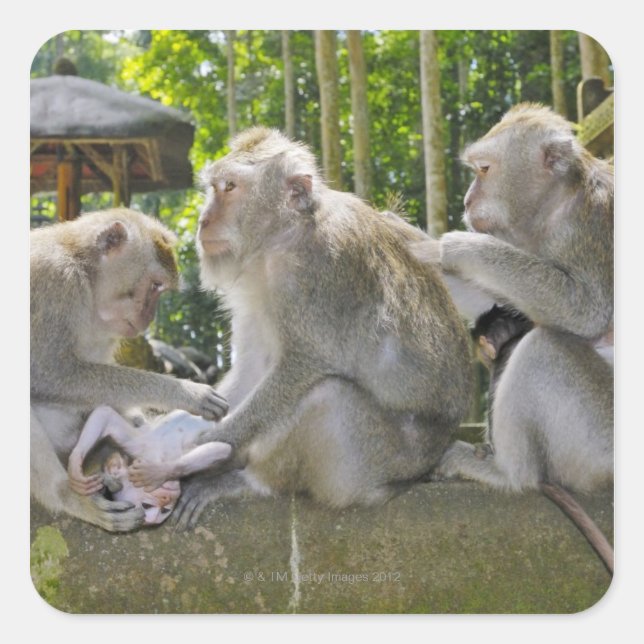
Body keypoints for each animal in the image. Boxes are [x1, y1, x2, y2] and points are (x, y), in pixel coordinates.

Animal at [67, 406, 232, 525]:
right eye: (148, 507)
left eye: (164, 510)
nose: (166, 498)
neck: (158, 454)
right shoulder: (139, 446)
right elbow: (222, 449)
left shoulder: (137, 445)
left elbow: (105, 414)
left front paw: (74, 468)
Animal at [171, 126, 474, 528]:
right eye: (213, 188)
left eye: (230, 187)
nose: (203, 220)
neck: (286, 232)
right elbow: (254, 367)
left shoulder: (319, 270)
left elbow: (305, 364)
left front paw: (211, 441)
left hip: (375, 463)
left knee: (328, 396)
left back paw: (248, 481)